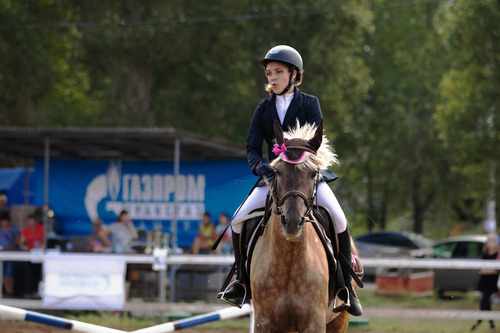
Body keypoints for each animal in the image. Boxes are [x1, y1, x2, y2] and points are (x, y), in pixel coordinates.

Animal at [250, 120, 356, 332]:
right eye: (277, 172)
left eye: (313, 173)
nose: (292, 222)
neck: (289, 262)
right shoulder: (262, 322)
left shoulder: (314, 322)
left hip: (340, 319)